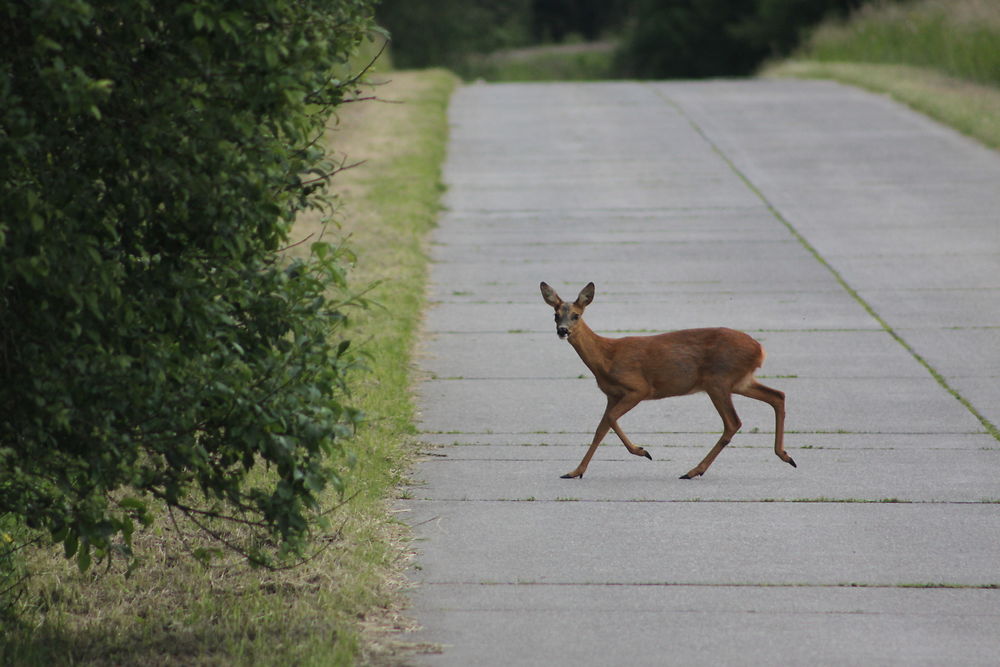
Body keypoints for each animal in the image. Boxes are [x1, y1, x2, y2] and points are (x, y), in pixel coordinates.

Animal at [540, 282, 796, 480]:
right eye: (555, 315)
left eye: (576, 315)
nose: (562, 330)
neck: (606, 357)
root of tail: (760, 349)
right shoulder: (612, 395)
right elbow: (600, 428)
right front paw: (575, 471)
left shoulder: (638, 388)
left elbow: (610, 420)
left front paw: (643, 451)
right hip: (739, 381)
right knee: (777, 395)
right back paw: (785, 456)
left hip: (719, 380)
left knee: (733, 422)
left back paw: (694, 471)